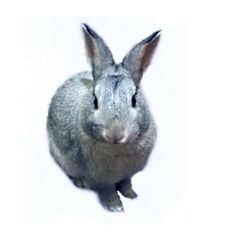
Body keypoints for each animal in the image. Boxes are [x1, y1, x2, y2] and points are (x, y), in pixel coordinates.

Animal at [47, 23, 161, 212]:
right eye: (95, 100)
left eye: (134, 99)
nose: (115, 134)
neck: (117, 149)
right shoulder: (101, 179)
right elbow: (108, 191)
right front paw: (116, 207)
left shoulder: (127, 174)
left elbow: (126, 184)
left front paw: (131, 195)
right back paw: (81, 183)